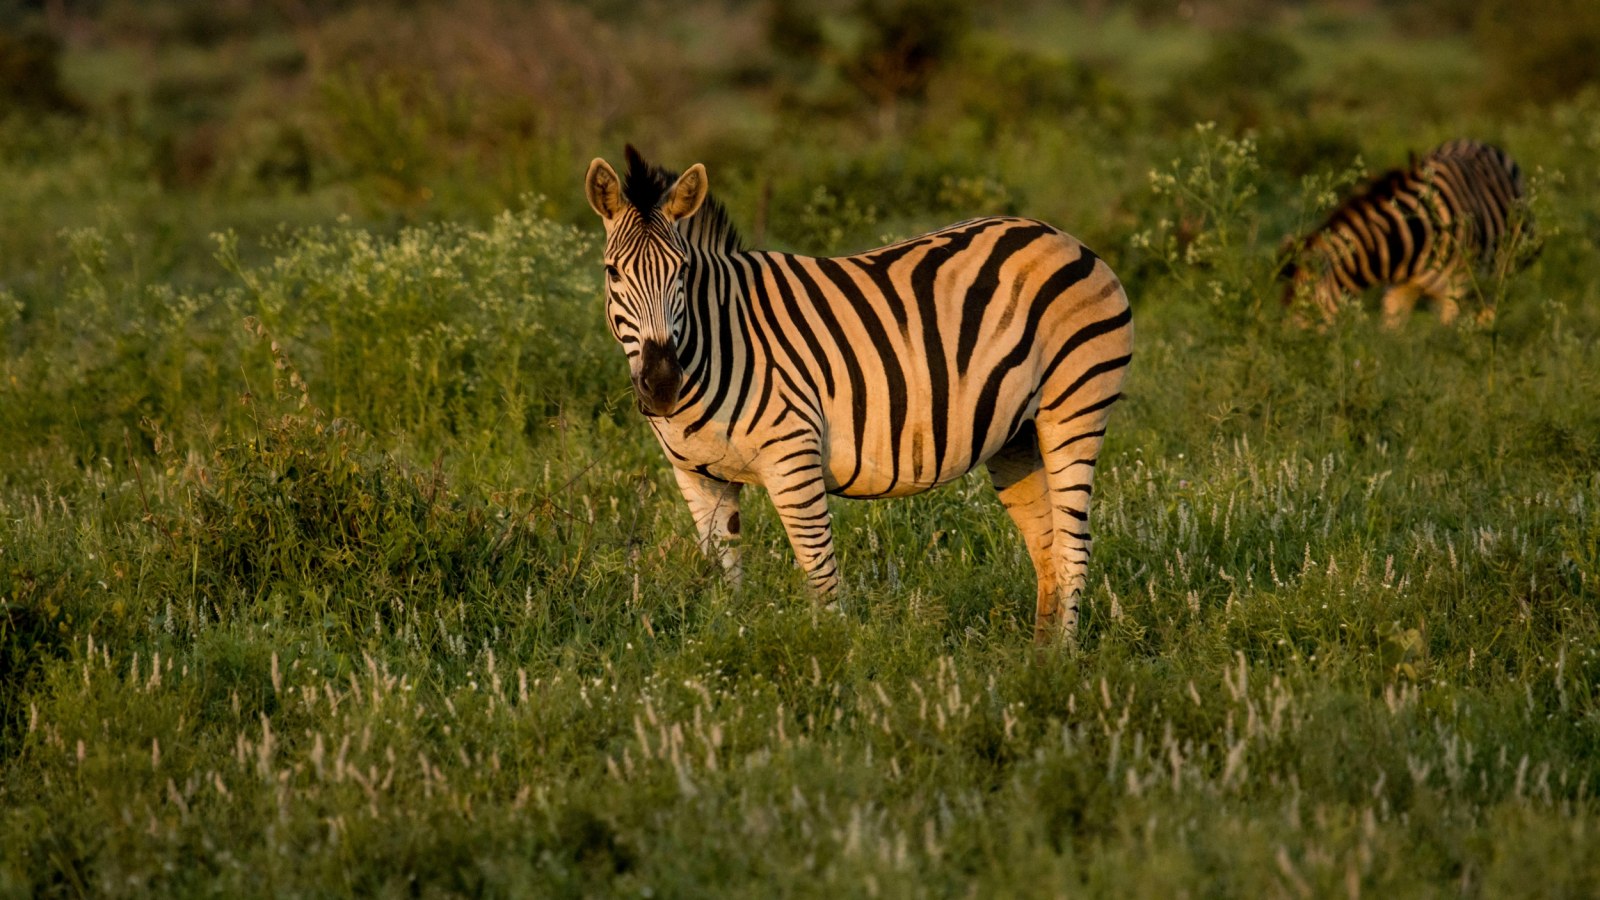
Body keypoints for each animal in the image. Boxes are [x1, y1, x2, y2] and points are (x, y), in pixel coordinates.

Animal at [583, 146, 1132, 643]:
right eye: (613, 273)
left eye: (681, 272)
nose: (661, 385)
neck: (717, 336)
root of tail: (1063, 237)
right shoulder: (700, 479)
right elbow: (727, 580)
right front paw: (734, 653)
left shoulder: (793, 458)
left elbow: (821, 579)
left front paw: (833, 662)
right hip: (1017, 437)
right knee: (1048, 548)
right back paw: (1036, 660)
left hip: (1075, 409)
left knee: (1075, 547)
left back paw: (1062, 663)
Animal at [1280, 139, 1531, 328]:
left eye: (1306, 304)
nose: (1290, 346)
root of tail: (1476, 141)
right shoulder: (1396, 291)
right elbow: (1393, 339)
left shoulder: (1456, 291)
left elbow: (1447, 340)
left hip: (1495, 277)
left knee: (1487, 315)